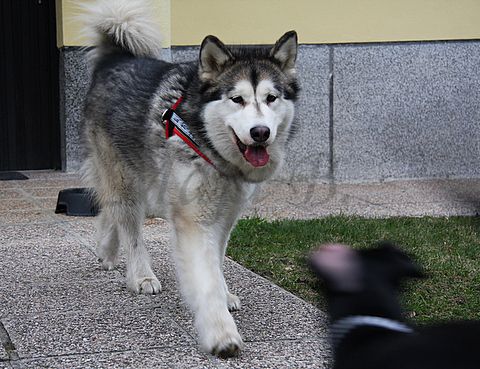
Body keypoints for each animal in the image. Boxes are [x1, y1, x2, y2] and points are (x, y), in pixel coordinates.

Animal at [80, 0, 298, 356]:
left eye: (271, 98)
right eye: (236, 99)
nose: (260, 132)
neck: (206, 139)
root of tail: (117, 58)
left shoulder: (226, 213)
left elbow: (217, 262)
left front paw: (224, 294)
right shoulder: (193, 218)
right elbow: (205, 276)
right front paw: (220, 332)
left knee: (111, 211)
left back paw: (107, 251)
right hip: (127, 178)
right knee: (127, 222)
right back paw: (140, 275)